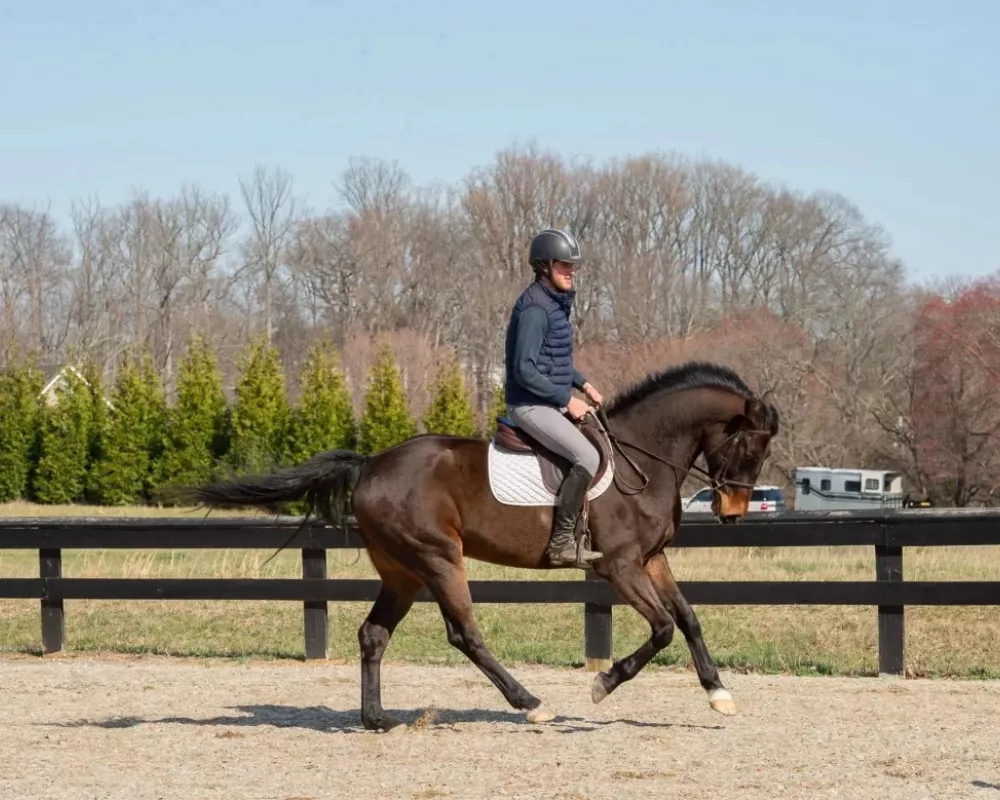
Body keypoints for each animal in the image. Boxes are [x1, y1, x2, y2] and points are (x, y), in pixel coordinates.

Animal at [180, 362, 776, 732]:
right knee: (464, 633)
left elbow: (689, 619)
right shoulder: (620, 567)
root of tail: (371, 464)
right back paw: (530, 704)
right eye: (752, 445)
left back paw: (376, 719)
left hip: (403, 572)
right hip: (439, 559)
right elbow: (663, 628)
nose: (732, 512)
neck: (642, 458)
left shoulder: (652, 561)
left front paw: (719, 694)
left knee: (374, 635)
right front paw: (603, 684)